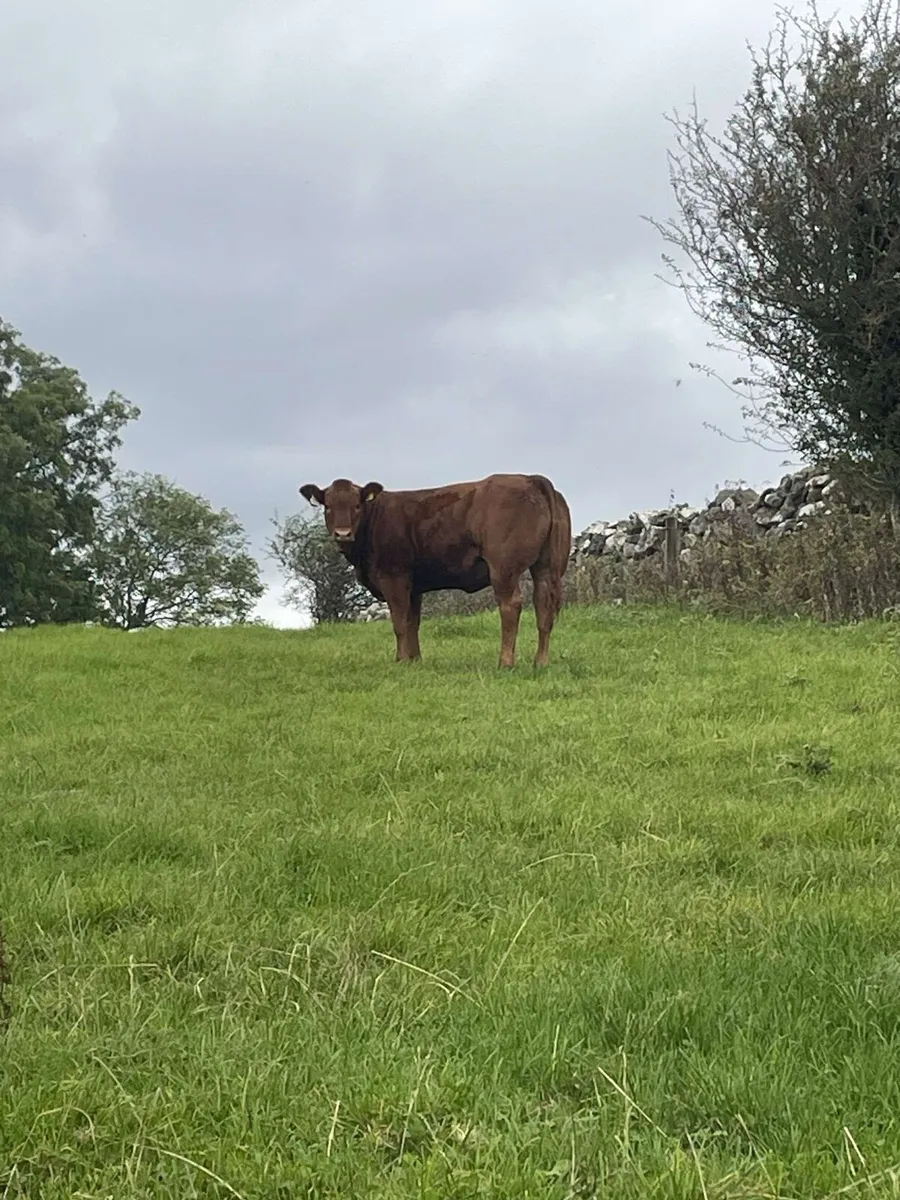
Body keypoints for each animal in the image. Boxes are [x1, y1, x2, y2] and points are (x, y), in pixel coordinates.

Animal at [298, 473, 572, 668]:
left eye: (356, 505)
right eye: (328, 506)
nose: (342, 534)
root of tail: (530, 479)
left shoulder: (394, 577)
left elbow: (399, 622)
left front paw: (400, 661)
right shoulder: (414, 586)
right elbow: (413, 622)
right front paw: (415, 661)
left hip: (503, 568)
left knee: (511, 606)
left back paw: (505, 662)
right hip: (545, 566)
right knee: (543, 607)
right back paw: (540, 663)